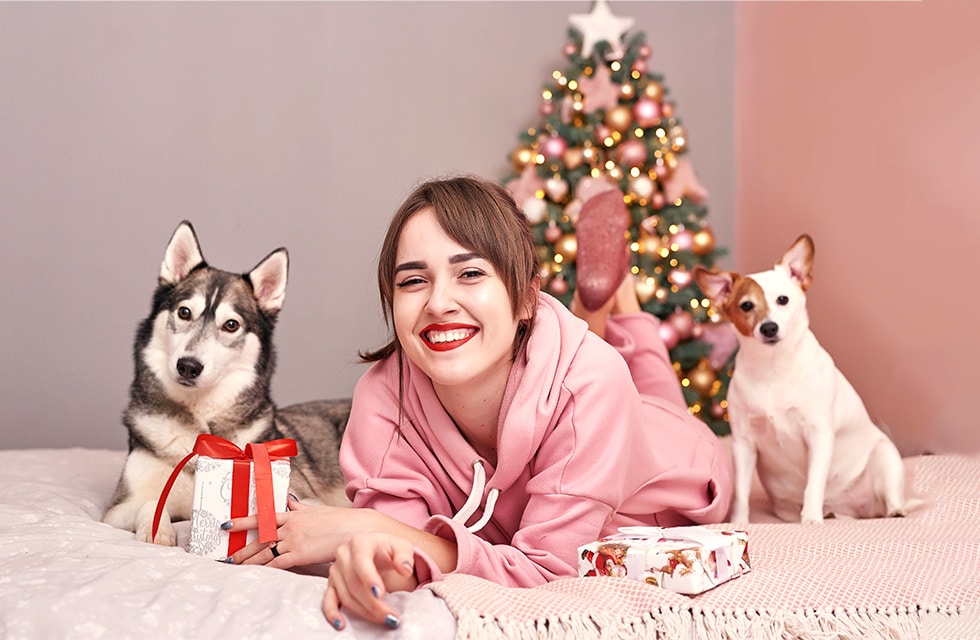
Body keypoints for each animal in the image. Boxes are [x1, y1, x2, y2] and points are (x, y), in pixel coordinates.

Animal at [102, 221, 348, 544]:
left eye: (231, 325)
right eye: (184, 312)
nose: (188, 366)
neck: (200, 422)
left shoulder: (306, 497)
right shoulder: (117, 508)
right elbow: (151, 502)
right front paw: (159, 530)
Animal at [692, 235, 908, 524]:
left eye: (783, 299)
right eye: (746, 305)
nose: (769, 327)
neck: (773, 369)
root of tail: (853, 510)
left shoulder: (819, 434)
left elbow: (814, 483)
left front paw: (812, 518)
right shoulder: (743, 444)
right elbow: (740, 491)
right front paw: (739, 522)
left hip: (886, 458)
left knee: (891, 496)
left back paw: (892, 510)